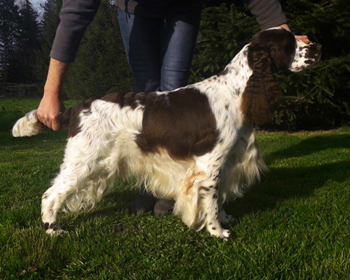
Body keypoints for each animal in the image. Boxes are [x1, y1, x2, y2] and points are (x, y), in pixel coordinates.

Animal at [13, 28, 320, 240]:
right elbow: (210, 199)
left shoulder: (227, 160)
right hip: (84, 160)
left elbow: (219, 197)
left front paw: (226, 219)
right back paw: (54, 230)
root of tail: (77, 107)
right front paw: (218, 232)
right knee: (50, 194)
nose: (318, 46)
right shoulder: (209, 164)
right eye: (290, 44)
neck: (238, 90)